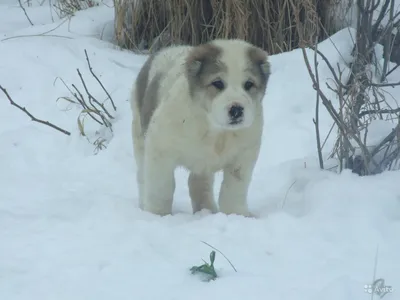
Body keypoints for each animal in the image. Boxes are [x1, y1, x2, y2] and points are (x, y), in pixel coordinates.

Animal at [130, 38, 270, 217]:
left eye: (248, 84)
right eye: (218, 83)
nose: (237, 110)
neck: (215, 131)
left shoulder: (243, 155)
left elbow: (233, 189)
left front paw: (236, 214)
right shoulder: (160, 149)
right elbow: (161, 188)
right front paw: (158, 214)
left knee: (198, 183)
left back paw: (206, 210)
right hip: (140, 136)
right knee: (142, 177)